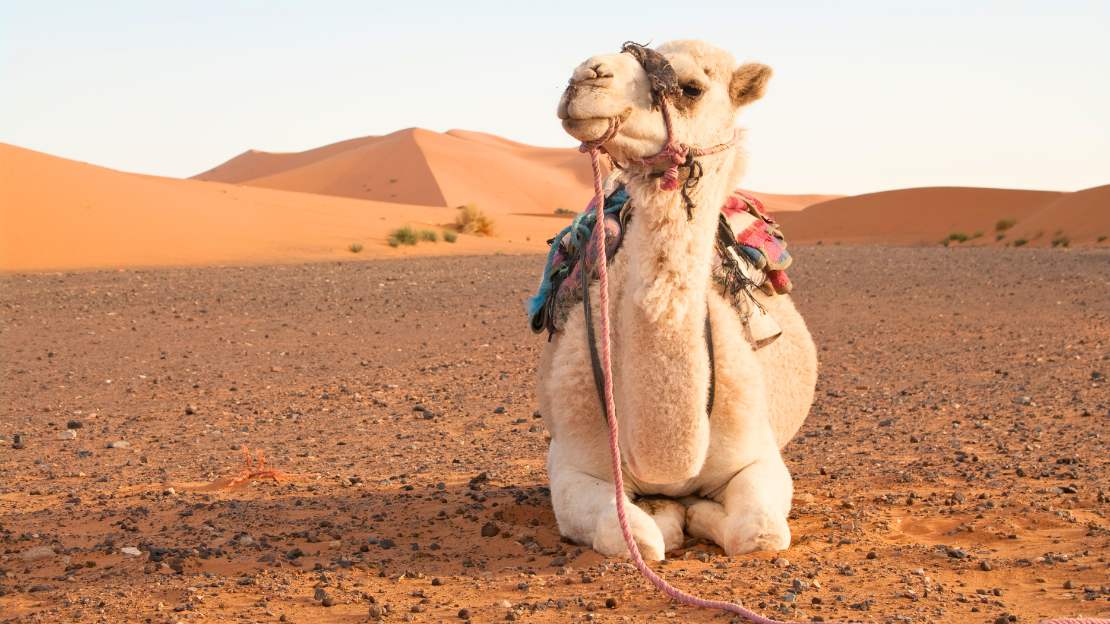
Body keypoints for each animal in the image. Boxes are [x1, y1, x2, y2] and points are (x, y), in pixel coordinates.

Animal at [536, 40, 818, 560]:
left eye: (690, 88)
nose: (585, 77)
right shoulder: (570, 466)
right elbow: (637, 538)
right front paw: (668, 516)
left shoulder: (759, 455)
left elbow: (760, 531)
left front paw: (699, 511)